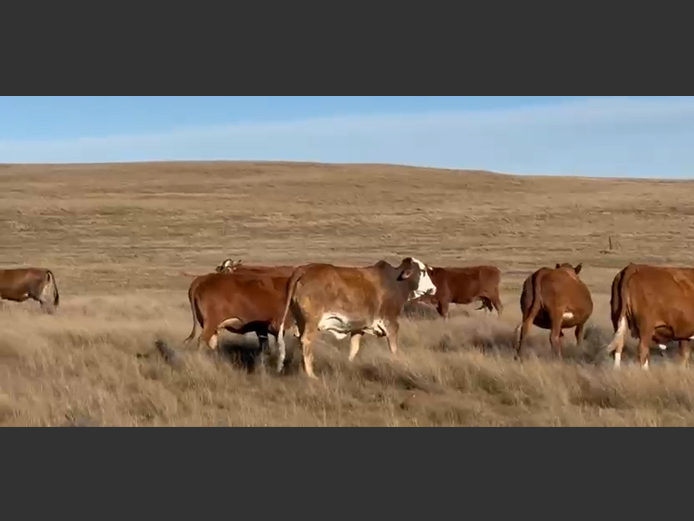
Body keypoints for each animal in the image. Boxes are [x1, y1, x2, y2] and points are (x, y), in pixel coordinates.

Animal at [276, 257, 437, 379]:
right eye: (422, 271)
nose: (433, 288)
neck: (395, 283)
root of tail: (303, 269)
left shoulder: (359, 328)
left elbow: (354, 348)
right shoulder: (391, 323)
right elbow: (393, 348)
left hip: (300, 321)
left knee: (298, 340)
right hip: (312, 322)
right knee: (306, 341)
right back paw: (311, 374)